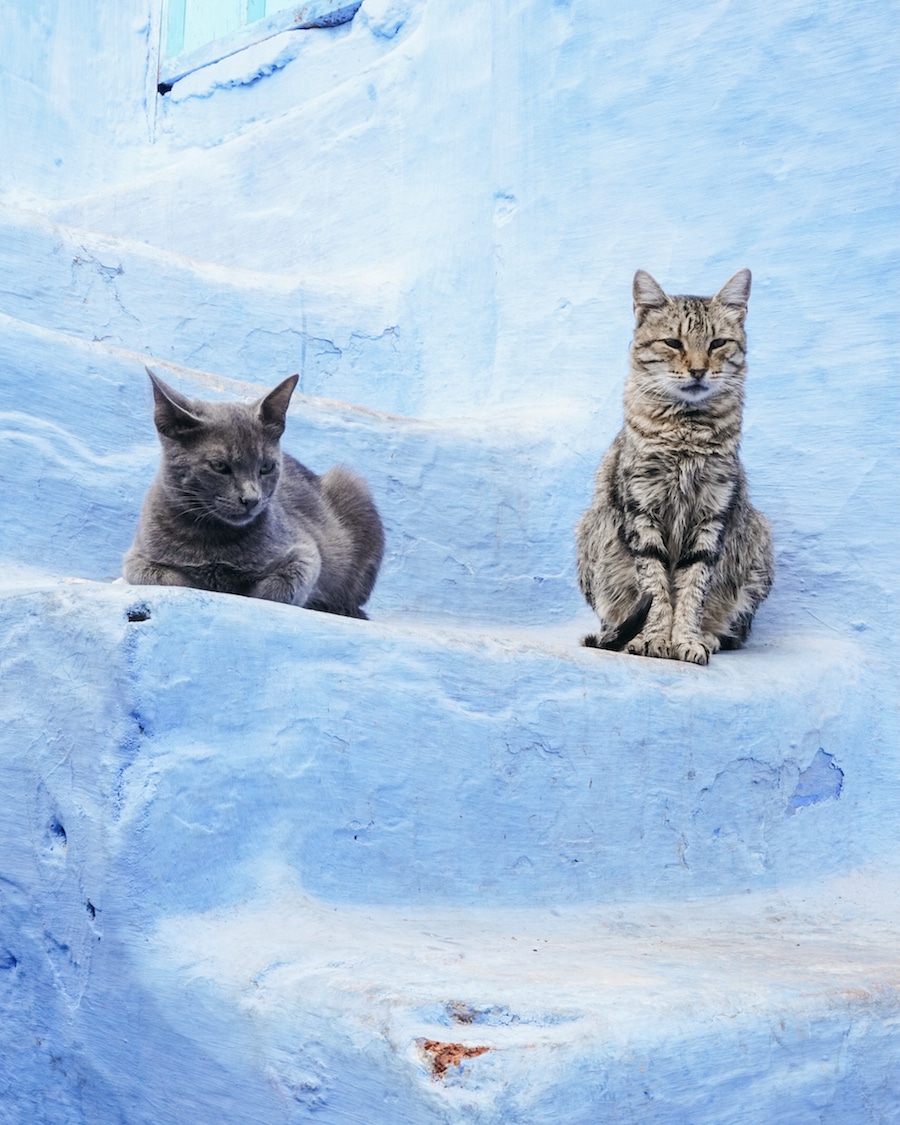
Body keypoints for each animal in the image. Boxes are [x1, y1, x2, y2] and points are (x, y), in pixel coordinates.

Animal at [123, 366, 382, 616]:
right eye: (219, 466)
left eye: (266, 467)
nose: (251, 499)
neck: (213, 540)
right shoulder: (136, 559)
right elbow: (168, 578)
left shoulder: (305, 554)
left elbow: (275, 589)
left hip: (350, 484)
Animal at [576, 267, 774, 661]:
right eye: (673, 343)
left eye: (717, 343)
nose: (698, 370)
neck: (686, 430)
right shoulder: (642, 510)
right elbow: (654, 588)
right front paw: (653, 639)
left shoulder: (711, 515)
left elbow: (693, 589)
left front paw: (686, 639)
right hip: (591, 528)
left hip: (757, 536)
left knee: (734, 631)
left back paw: (710, 636)